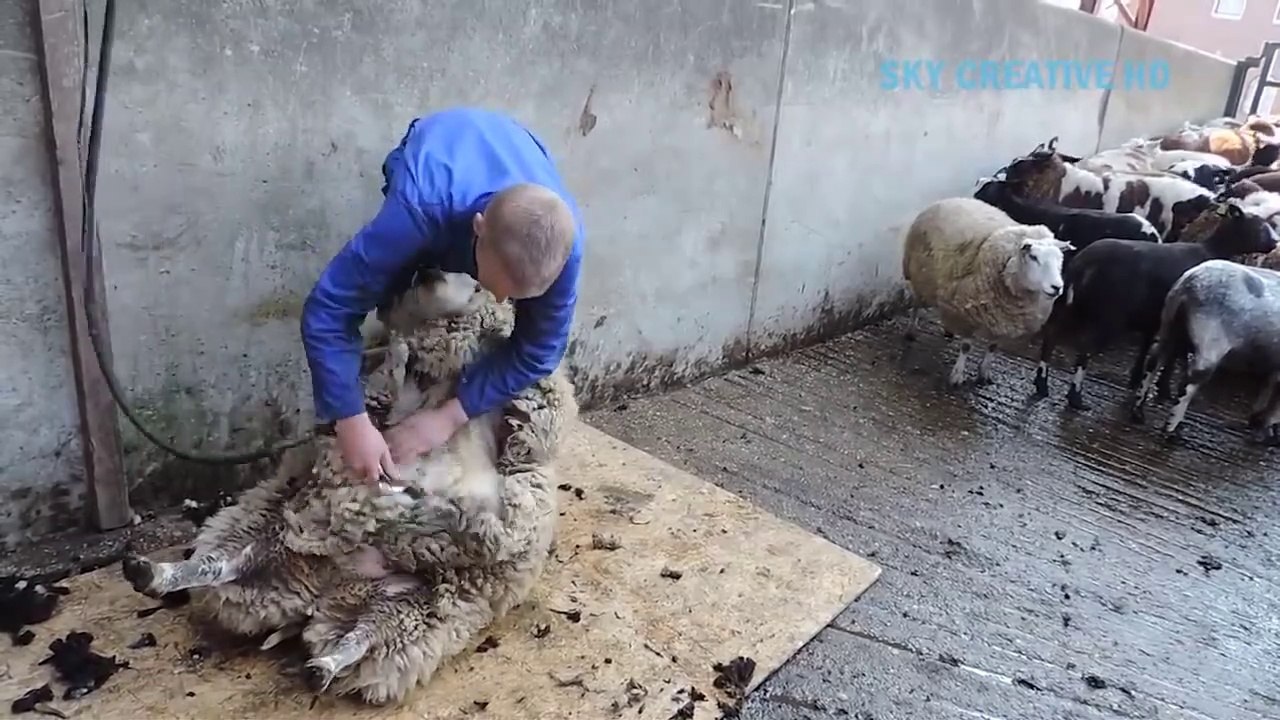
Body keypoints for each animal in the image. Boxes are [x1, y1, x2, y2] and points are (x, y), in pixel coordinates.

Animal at [119, 270, 578, 706]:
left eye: (478, 279)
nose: (426, 271)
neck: (444, 375)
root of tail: (326, 592)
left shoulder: (532, 420)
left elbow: (527, 434)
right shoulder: (387, 396)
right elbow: (388, 386)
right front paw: (399, 353)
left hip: (417, 602)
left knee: (364, 634)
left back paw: (322, 665)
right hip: (289, 541)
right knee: (223, 564)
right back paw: (154, 574)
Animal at [902, 196, 1071, 387]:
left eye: (1060, 259)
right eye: (1033, 257)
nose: (1057, 287)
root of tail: (955, 198)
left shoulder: (1003, 319)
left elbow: (993, 347)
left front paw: (984, 373)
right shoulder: (966, 313)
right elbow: (966, 347)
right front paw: (957, 375)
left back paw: (948, 330)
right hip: (919, 274)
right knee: (916, 304)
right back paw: (911, 331)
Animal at [1031, 195, 1279, 411]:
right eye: (1258, 226)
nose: (1274, 243)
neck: (1213, 249)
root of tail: (1086, 263)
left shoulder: (1154, 316)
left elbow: (1148, 347)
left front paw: (1137, 381)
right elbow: (1174, 356)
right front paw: (1163, 390)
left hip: (1067, 304)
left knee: (1051, 336)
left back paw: (1042, 384)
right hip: (1110, 316)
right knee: (1085, 350)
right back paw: (1076, 398)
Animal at [1131, 259, 1280, 444]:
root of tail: (1190, 281)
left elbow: (1269, 387)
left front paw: (1259, 422)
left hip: (1169, 321)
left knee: (1154, 360)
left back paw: (1138, 412)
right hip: (1210, 339)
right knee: (1188, 383)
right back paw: (1171, 432)